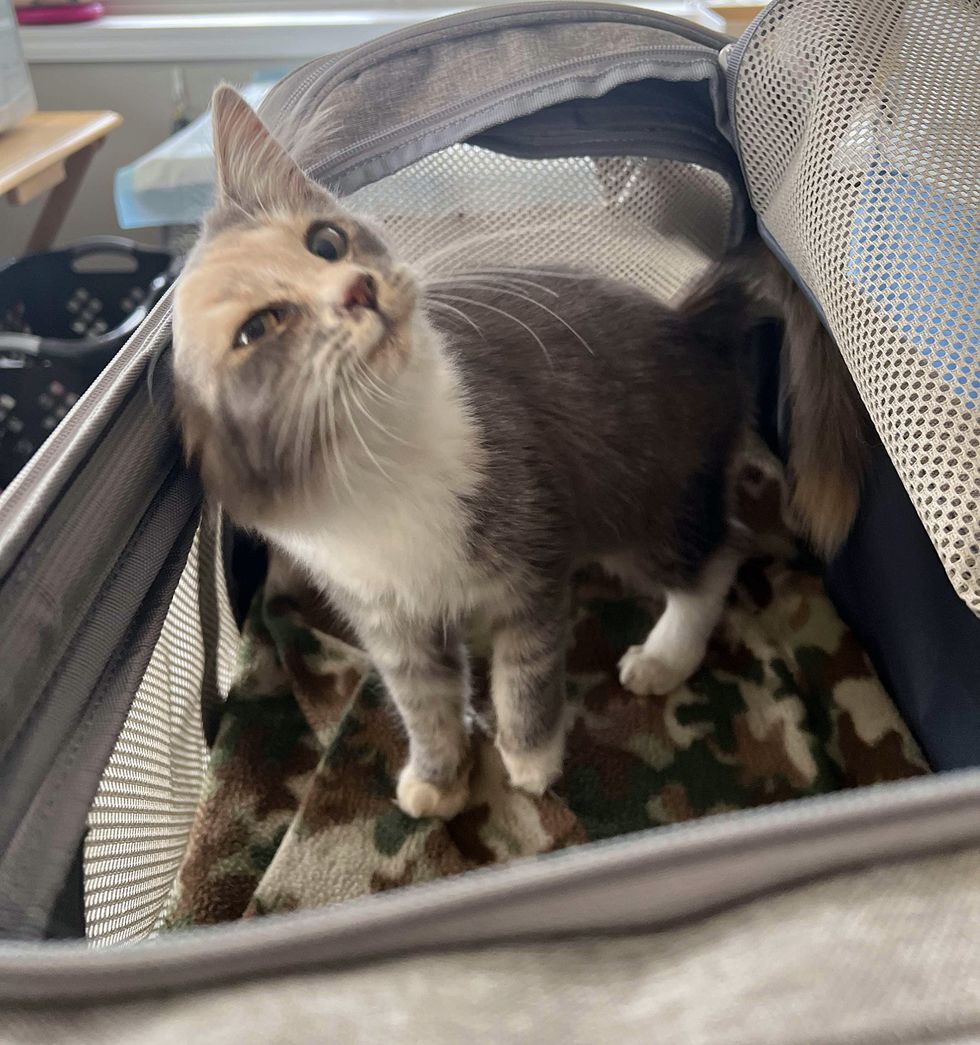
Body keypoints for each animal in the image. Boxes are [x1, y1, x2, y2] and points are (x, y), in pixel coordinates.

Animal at [173, 87, 865, 815]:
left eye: (326, 242)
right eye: (260, 327)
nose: (357, 287)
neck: (383, 455)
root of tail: (690, 322)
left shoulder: (532, 565)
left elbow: (525, 675)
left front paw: (530, 756)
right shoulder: (385, 617)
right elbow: (423, 699)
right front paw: (437, 774)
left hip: (648, 503)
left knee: (721, 552)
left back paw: (664, 656)